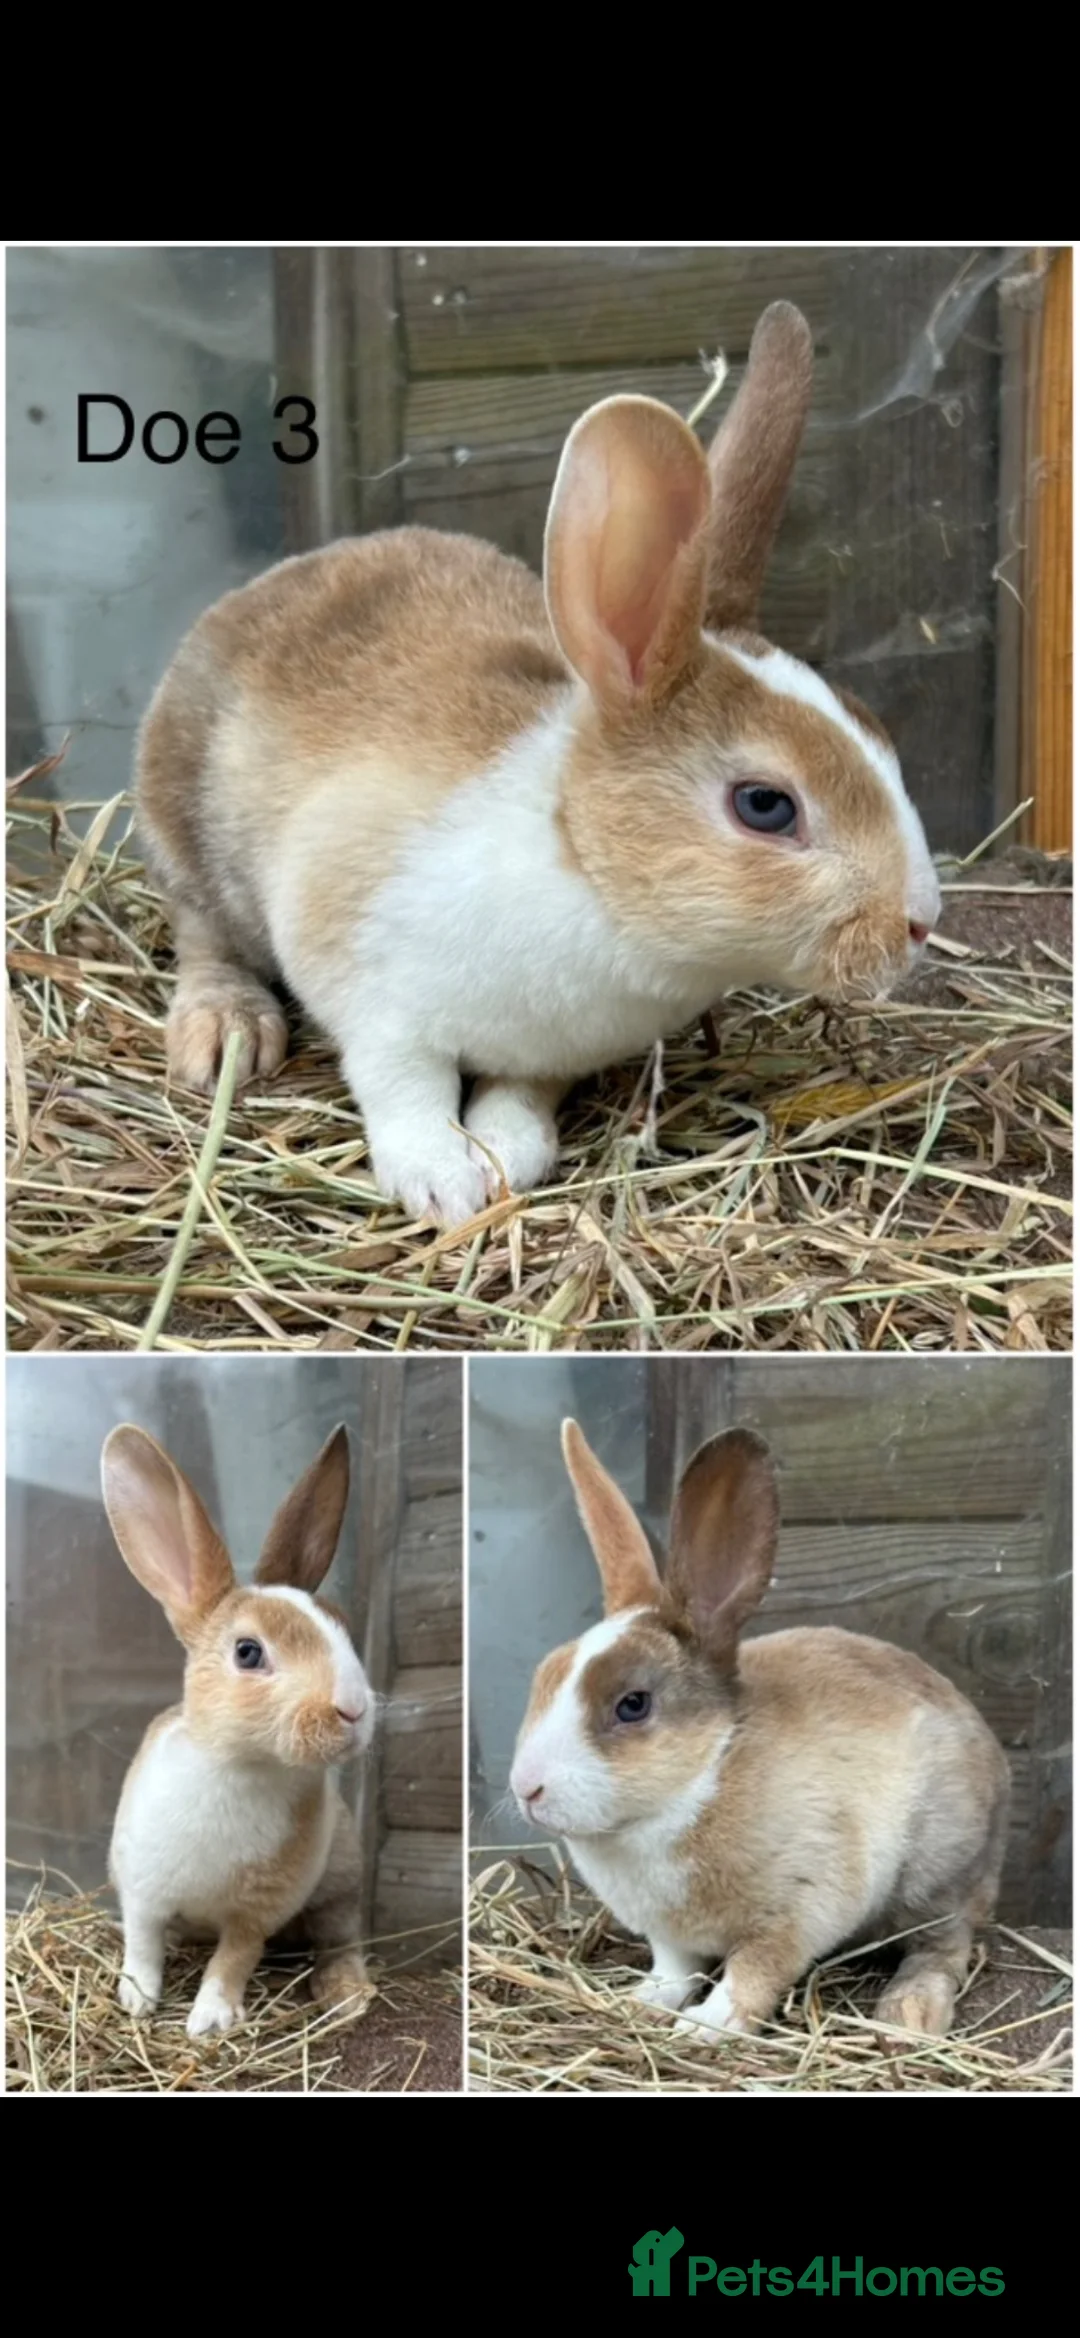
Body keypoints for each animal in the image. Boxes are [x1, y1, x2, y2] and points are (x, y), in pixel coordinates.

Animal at [101, 1420, 375, 2041]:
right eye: (248, 1652)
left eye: (344, 1627)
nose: (353, 1709)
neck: (242, 1766)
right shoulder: (143, 1890)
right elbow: (143, 1944)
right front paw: (136, 2000)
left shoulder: (257, 1912)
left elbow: (234, 1960)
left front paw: (209, 2020)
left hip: (342, 1881)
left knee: (338, 1940)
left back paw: (348, 1995)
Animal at [135, 300, 941, 1229]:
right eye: (766, 806)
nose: (920, 921)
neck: (583, 867)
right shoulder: (368, 986)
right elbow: (404, 1088)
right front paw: (443, 1184)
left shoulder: (548, 1055)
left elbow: (518, 1098)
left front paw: (507, 1161)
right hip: (188, 843)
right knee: (204, 936)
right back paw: (225, 1035)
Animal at [509, 1419, 1010, 2040]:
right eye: (543, 1676)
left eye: (632, 1705)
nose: (526, 1789)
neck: (702, 1778)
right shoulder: (670, 1937)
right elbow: (673, 1970)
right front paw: (643, 2001)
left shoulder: (798, 1910)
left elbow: (752, 1974)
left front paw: (703, 2026)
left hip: (937, 1873)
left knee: (943, 1947)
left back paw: (909, 2015)